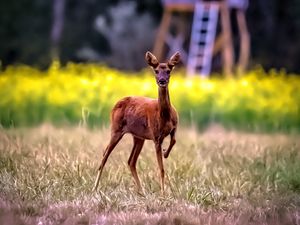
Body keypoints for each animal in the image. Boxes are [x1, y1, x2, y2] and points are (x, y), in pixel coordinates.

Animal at [92, 51, 179, 193]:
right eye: (156, 71)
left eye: (168, 70)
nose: (162, 81)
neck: (165, 116)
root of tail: (115, 104)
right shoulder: (156, 137)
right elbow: (161, 169)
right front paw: (163, 193)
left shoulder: (174, 128)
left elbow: (174, 140)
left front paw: (166, 153)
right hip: (116, 129)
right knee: (105, 156)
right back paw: (94, 188)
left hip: (138, 137)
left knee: (131, 161)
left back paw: (141, 191)